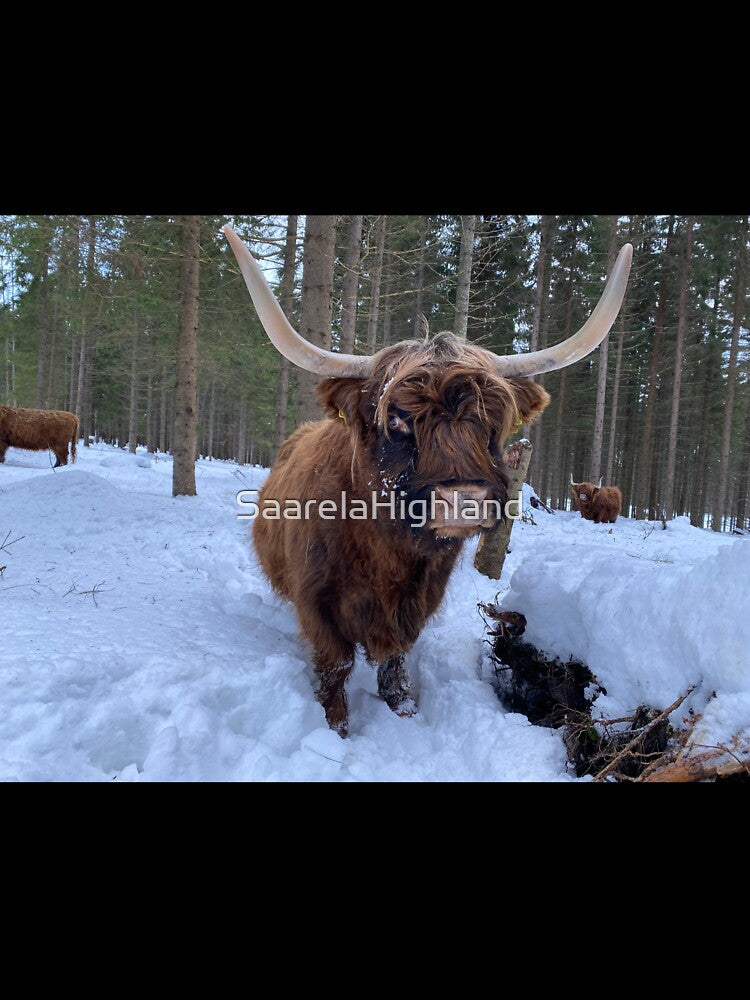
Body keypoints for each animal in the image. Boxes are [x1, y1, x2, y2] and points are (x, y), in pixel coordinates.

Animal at [225, 226, 632, 736]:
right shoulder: (318, 601)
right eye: (397, 419)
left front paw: (404, 712)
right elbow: (336, 664)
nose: (463, 499)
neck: (385, 555)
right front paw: (335, 727)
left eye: (492, 420)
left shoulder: (417, 601)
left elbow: (395, 662)